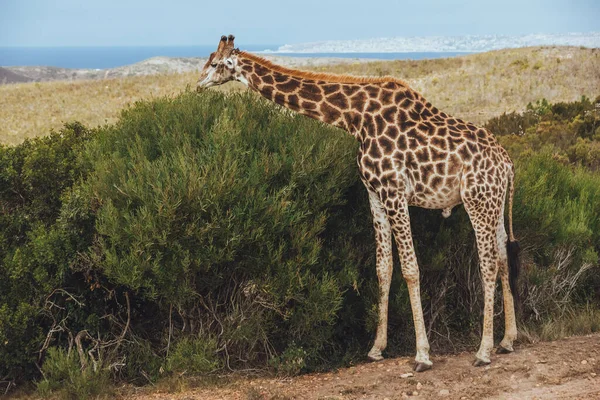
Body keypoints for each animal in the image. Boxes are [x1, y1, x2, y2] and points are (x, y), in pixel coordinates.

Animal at [197, 34, 520, 372]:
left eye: (215, 63)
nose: (197, 83)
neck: (355, 119)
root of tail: (508, 163)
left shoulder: (394, 191)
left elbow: (410, 269)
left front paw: (422, 355)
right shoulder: (375, 194)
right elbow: (383, 268)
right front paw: (376, 348)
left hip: (477, 200)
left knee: (487, 263)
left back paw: (483, 350)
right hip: (495, 203)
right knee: (502, 257)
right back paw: (507, 340)